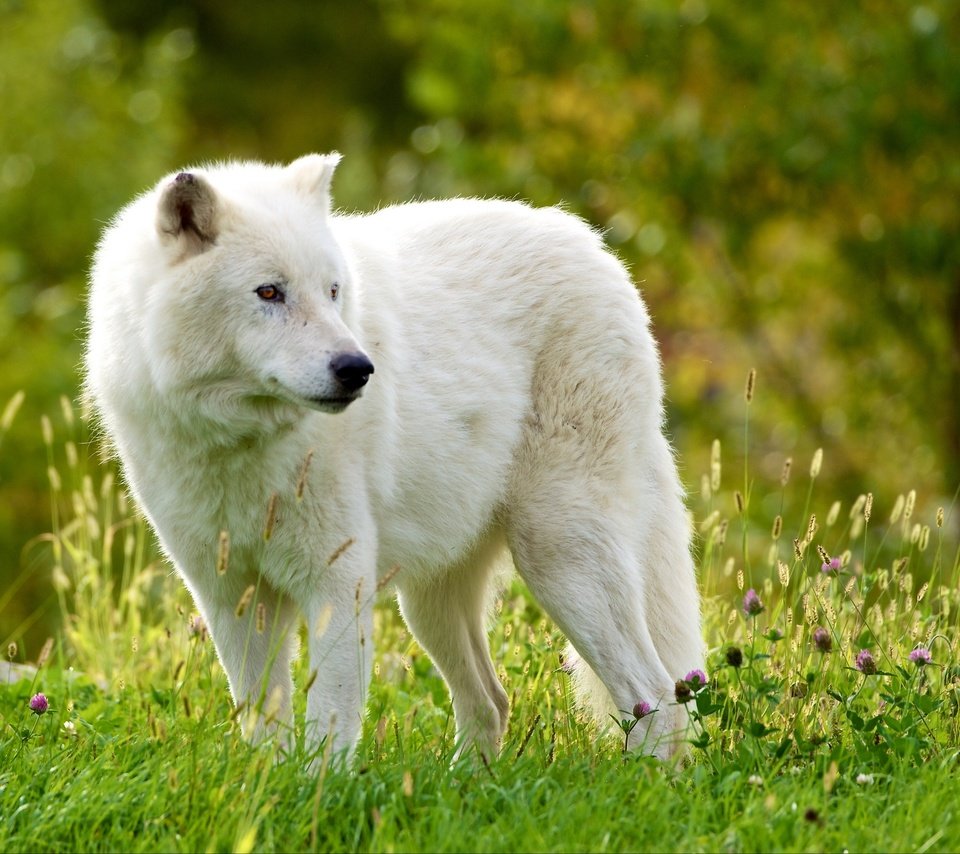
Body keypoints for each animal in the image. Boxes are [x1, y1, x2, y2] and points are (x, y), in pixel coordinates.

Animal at [86, 154, 700, 764]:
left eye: (333, 291)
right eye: (269, 292)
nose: (357, 368)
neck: (239, 445)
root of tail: (599, 251)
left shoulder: (337, 584)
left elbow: (328, 729)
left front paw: (316, 790)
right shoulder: (231, 597)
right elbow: (264, 725)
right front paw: (265, 786)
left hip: (559, 557)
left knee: (657, 696)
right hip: (429, 601)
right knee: (492, 702)